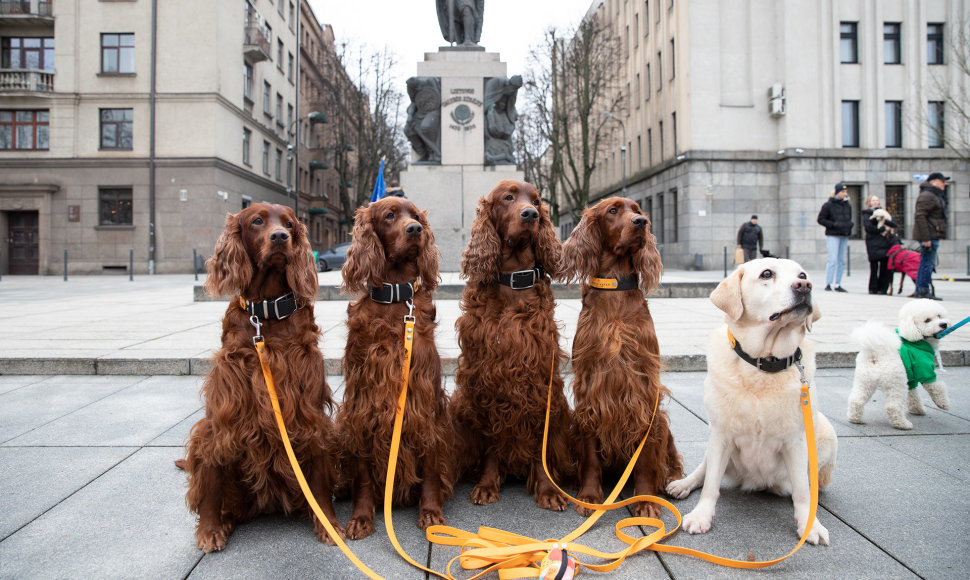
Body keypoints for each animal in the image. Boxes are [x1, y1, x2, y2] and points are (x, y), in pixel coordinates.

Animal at [182, 204, 340, 552]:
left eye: (290, 224)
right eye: (257, 221)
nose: (280, 237)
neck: (267, 314)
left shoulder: (310, 411)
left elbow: (319, 477)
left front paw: (328, 524)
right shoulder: (223, 414)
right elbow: (212, 475)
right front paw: (209, 530)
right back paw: (222, 521)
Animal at [336, 196, 454, 540]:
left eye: (415, 216)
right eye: (389, 216)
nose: (415, 230)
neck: (394, 298)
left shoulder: (425, 401)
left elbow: (430, 468)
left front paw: (430, 512)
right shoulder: (362, 404)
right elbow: (363, 476)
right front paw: (361, 517)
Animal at [448, 179, 572, 510]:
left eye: (537, 200)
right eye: (508, 197)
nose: (531, 215)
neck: (513, 279)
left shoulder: (540, 379)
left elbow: (540, 441)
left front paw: (548, 490)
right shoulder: (487, 376)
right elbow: (492, 439)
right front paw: (487, 484)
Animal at [560, 198, 680, 516]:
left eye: (637, 209)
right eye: (612, 211)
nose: (642, 222)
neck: (614, 290)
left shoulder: (644, 386)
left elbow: (646, 458)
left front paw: (645, 500)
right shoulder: (590, 388)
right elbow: (591, 457)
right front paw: (590, 496)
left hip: (662, 421)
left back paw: (674, 481)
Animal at [844, 300, 948, 430]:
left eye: (939, 316)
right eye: (927, 320)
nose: (944, 324)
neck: (917, 338)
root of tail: (876, 352)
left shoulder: (910, 379)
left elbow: (913, 395)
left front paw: (917, 409)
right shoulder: (925, 371)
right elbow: (936, 388)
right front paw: (943, 404)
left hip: (864, 381)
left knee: (856, 400)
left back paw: (856, 419)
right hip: (896, 383)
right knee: (892, 407)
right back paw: (902, 424)